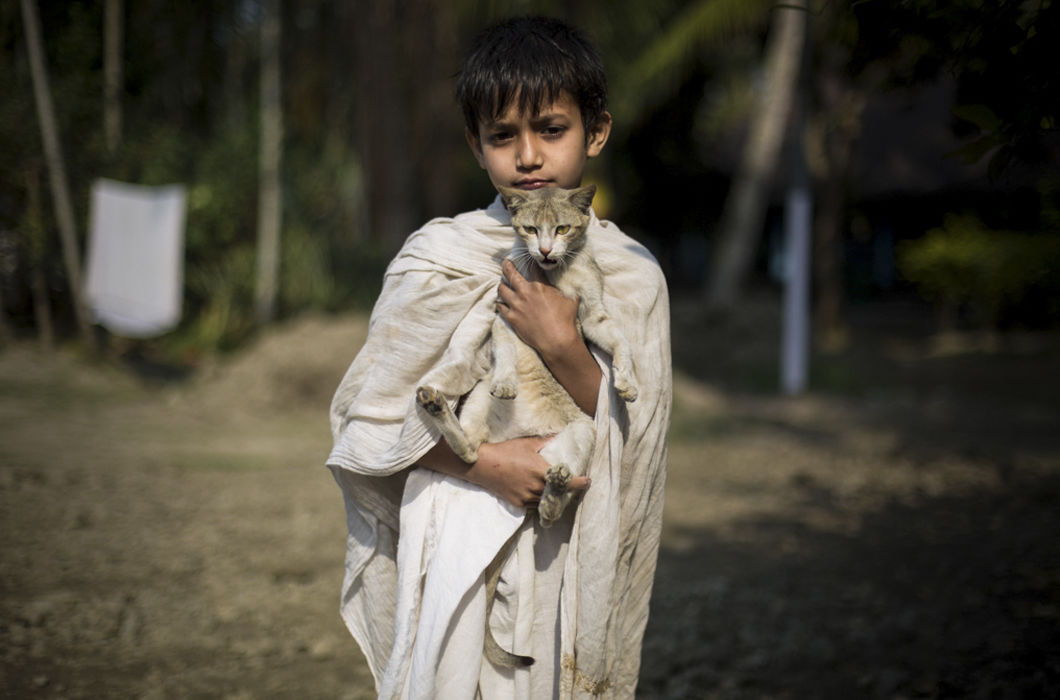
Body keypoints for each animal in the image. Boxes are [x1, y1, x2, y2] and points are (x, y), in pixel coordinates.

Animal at [415, 183, 635, 670]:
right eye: (531, 229)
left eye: (564, 228)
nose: (547, 250)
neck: (555, 277)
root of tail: (524, 439)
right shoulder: (504, 313)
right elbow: (505, 350)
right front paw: (507, 381)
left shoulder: (594, 316)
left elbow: (622, 344)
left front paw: (628, 384)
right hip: (477, 403)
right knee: (470, 450)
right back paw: (438, 407)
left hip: (583, 435)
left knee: (553, 513)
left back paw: (556, 486)